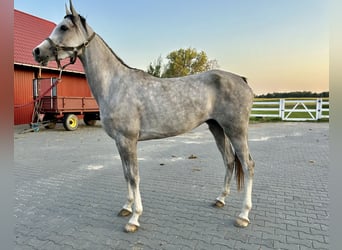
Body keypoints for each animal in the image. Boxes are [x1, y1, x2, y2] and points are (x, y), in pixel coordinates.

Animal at [33, 0, 255, 233]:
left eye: (64, 28)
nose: (36, 51)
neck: (114, 84)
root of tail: (242, 80)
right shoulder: (120, 142)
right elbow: (126, 174)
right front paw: (126, 207)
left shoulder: (128, 140)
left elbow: (134, 176)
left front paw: (134, 218)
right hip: (217, 128)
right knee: (229, 161)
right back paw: (220, 199)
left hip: (236, 131)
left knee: (248, 165)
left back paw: (243, 215)